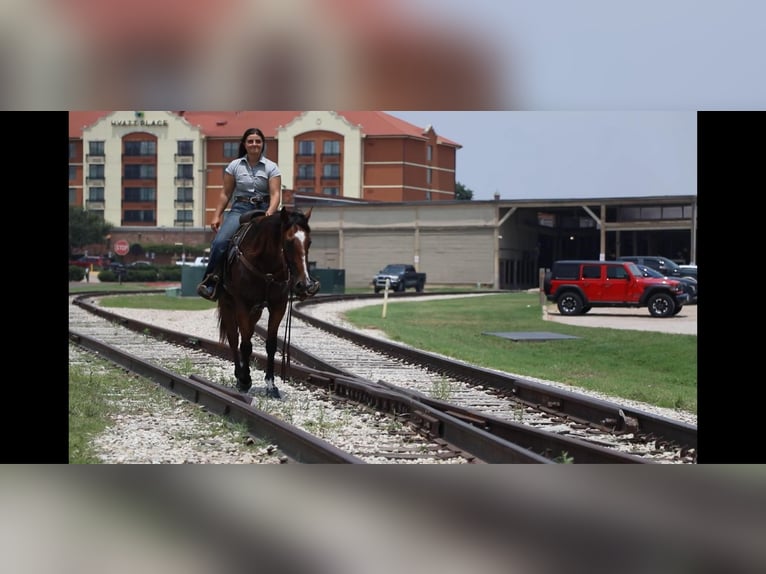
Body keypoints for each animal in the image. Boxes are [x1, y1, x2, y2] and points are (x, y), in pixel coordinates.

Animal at [216, 207, 320, 400]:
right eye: (288, 242)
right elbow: (245, 344)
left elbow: (271, 345)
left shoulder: (278, 306)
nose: (305, 285)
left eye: (309, 242)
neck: (265, 264)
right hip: (227, 304)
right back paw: (240, 375)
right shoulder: (242, 304)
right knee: (234, 339)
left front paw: (271, 386)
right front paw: (245, 380)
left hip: (255, 312)